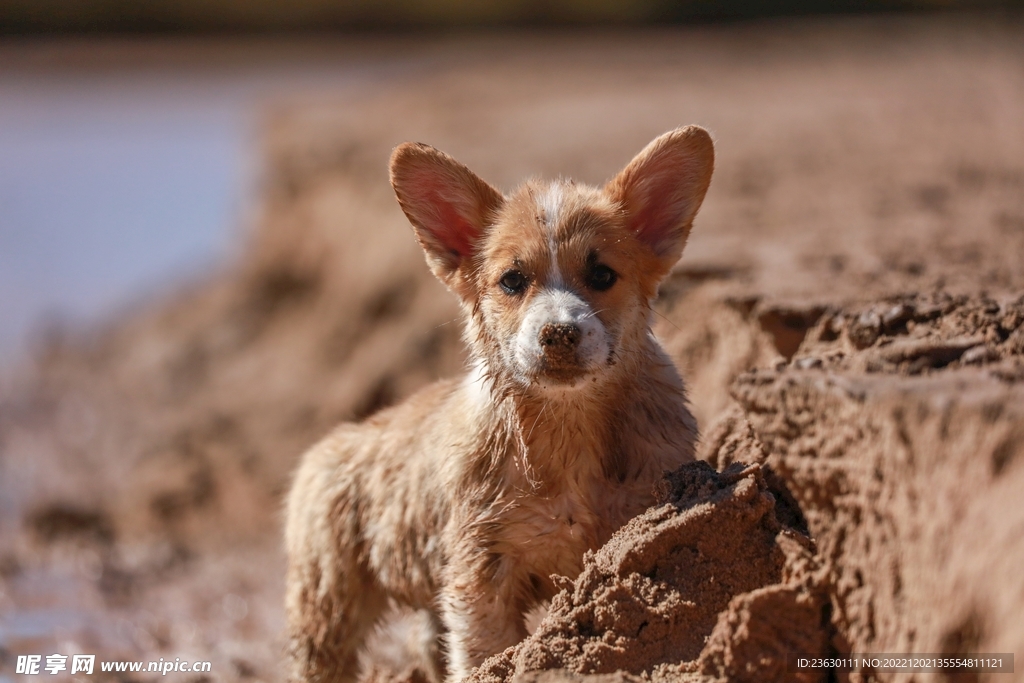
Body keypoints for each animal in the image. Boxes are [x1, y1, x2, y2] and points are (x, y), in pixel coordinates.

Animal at [280, 126, 712, 683]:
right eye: (512, 281)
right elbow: (485, 655)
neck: (567, 428)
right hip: (327, 601)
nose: (559, 334)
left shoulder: (639, 526)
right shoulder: (480, 571)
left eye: (601, 276)